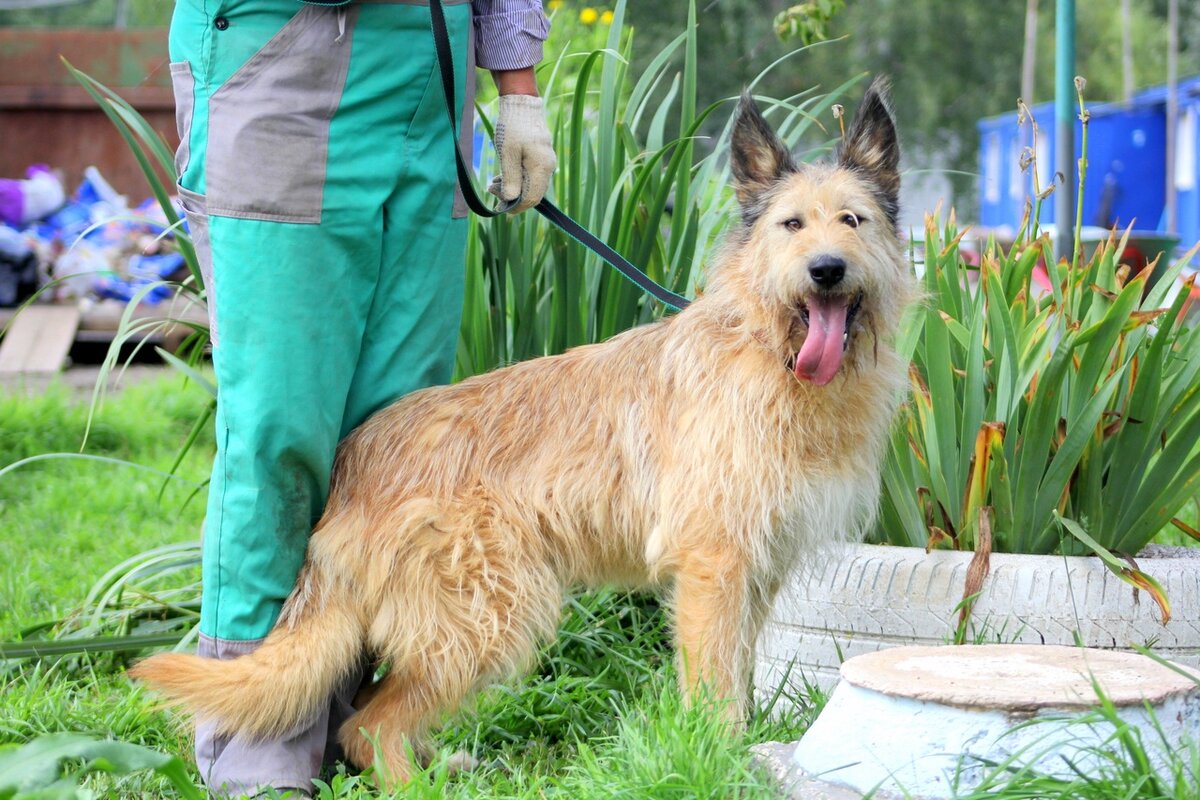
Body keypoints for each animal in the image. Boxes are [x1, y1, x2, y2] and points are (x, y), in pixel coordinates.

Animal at [131, 77, 912, 786]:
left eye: (852, 221)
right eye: (791, 225)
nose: (827, 270)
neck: (770, 351)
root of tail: (357, 460)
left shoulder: (755, 571)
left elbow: (740, 680)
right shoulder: (712, 569)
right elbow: (715, 691)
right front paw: (717, 761)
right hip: (491, 616)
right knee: (369, 725)